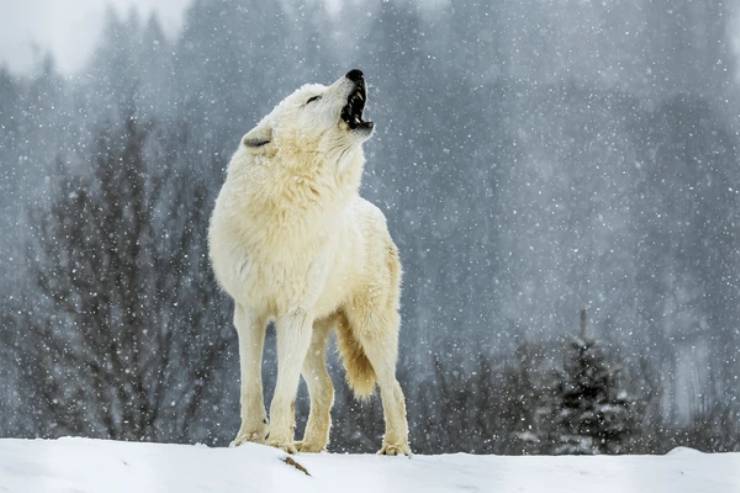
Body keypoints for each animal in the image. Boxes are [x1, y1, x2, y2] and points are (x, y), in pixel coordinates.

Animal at [208, 68, 410, 454]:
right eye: (313, 99)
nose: (356, 72)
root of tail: (374, 210)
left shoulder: (293, 313)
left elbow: (282, 394)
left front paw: (277, 443)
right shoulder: (250, 311)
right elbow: (251, 387)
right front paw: (249, 439)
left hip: (369, 328)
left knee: (393, 388)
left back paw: (395, 447)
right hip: (313, 338)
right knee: (327, 388)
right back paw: (311, 446)